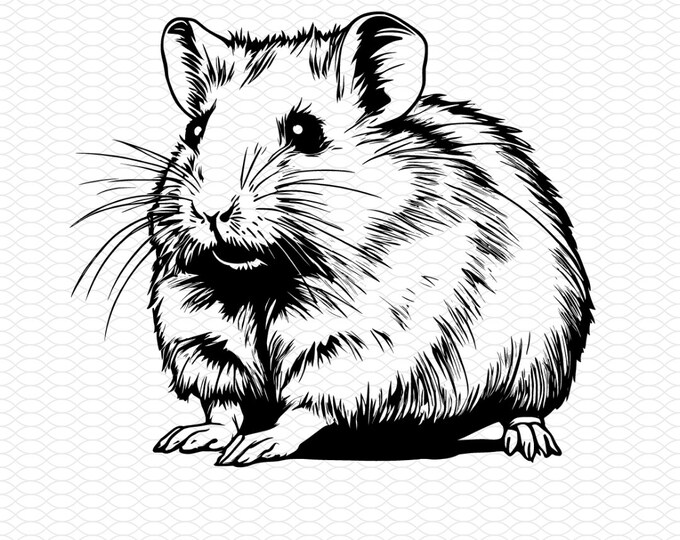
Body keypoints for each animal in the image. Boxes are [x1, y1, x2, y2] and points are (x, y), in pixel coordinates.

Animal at [145, 12, 593, 465]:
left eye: (305, 131)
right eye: (195, 130)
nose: (210, 212)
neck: (264, 281)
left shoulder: (360, 343)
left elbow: (308, 406)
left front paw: (252, 447)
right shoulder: (205, 341)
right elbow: (224, 404)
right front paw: (186, 439)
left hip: (540, 359)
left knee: (524, 408)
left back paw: (531, 443)